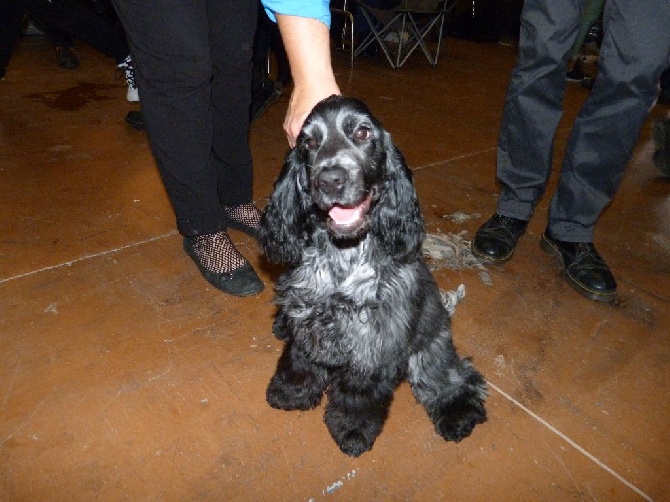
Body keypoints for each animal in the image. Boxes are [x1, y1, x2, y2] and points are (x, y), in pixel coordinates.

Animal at [258, 95, 488, 458]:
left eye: (363, 133)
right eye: (308, 142)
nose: (330, 179)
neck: (342, 256)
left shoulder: (375, 340)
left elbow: (358, 392)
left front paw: (352, 430)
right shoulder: (306, 316)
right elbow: (299, 360)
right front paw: (291, 392)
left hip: (431, 348)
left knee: (452, 377)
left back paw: (457, 414)